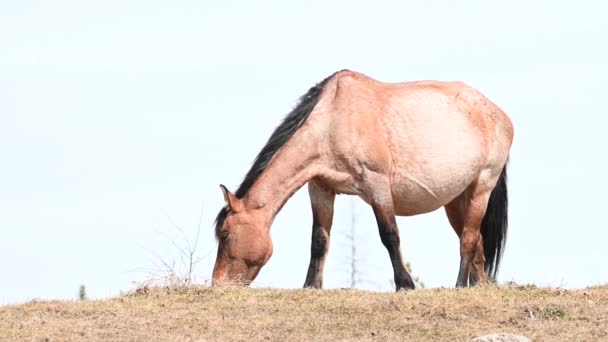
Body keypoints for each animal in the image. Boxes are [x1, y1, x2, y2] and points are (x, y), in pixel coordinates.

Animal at [211, 69, 510, 292]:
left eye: (224, 234)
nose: (217, 283)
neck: (332, 121)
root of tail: (498, 114)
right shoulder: (320, 187)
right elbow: (318, 239)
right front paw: (311, 286)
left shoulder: (377, 184)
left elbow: (389, 235)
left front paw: (405, 284)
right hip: (457, 200)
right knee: (476, 242)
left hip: (482, 187)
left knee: (468, 239)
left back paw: (459, 285)